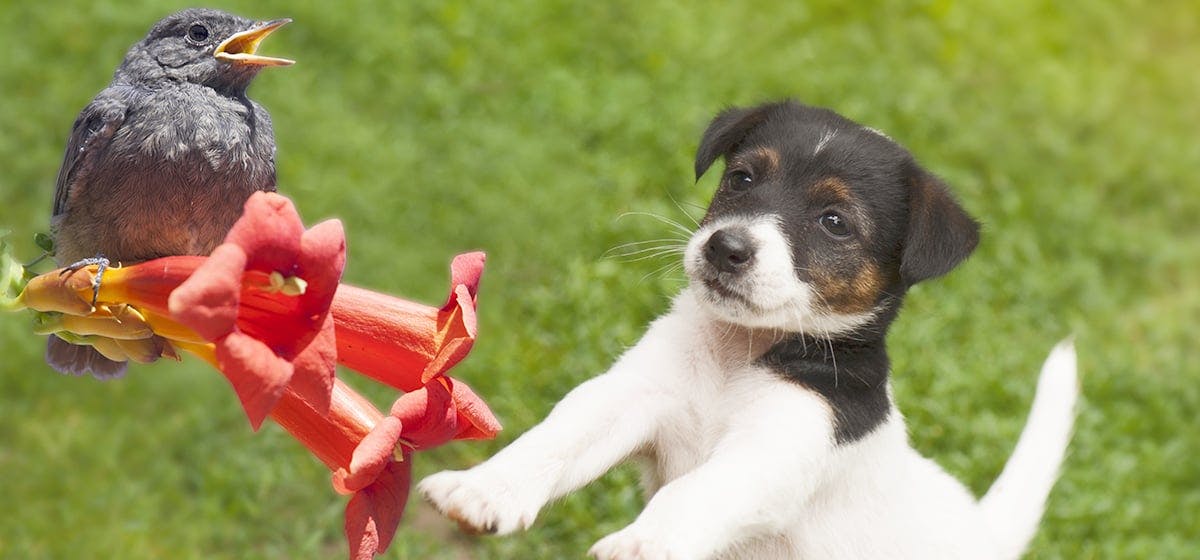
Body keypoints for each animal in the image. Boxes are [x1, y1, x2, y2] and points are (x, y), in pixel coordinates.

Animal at [422, 101, 1080, 560]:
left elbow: (691, 493)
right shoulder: (632, 396)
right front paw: (483, 489)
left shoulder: (777, 447)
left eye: (834, 221)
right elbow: (554, 439)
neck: (739, 354)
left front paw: (641, 543)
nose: (726, 247)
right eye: (741, 178)